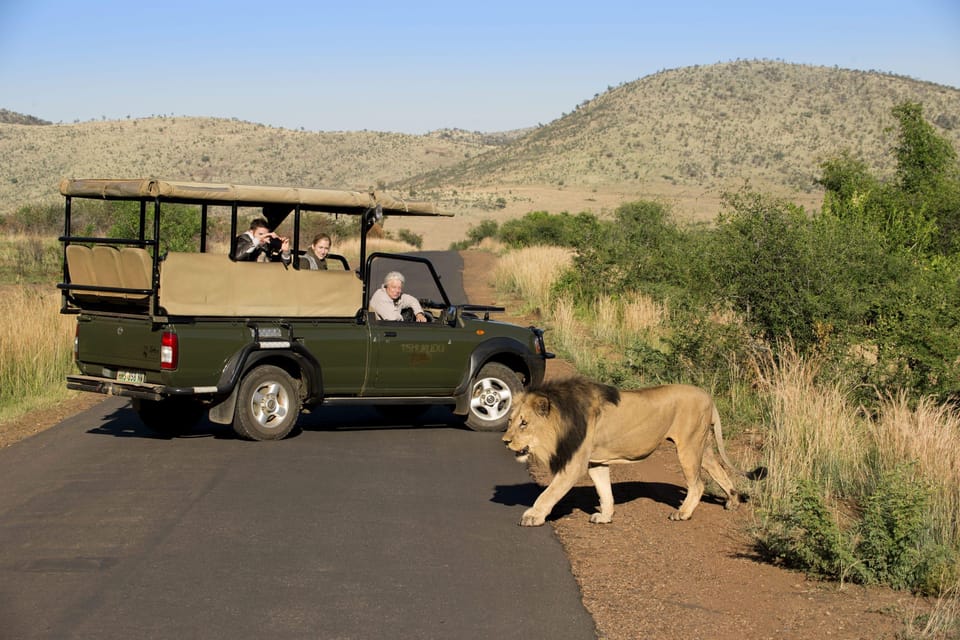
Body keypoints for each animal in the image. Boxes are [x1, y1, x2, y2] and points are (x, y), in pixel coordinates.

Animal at [502, 376, 756, 524]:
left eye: (524, 423)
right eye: (511, 421)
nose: (505, 441)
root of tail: (708, 397)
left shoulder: (574, 464)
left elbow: (549, 493)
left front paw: (533, 515)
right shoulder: (596, 462)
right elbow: (605, 492)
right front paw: (605, 516)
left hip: (688, 447)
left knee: (698, 484)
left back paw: (683, 513)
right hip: (701, 446)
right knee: (718, 469)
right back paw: (733, 501)